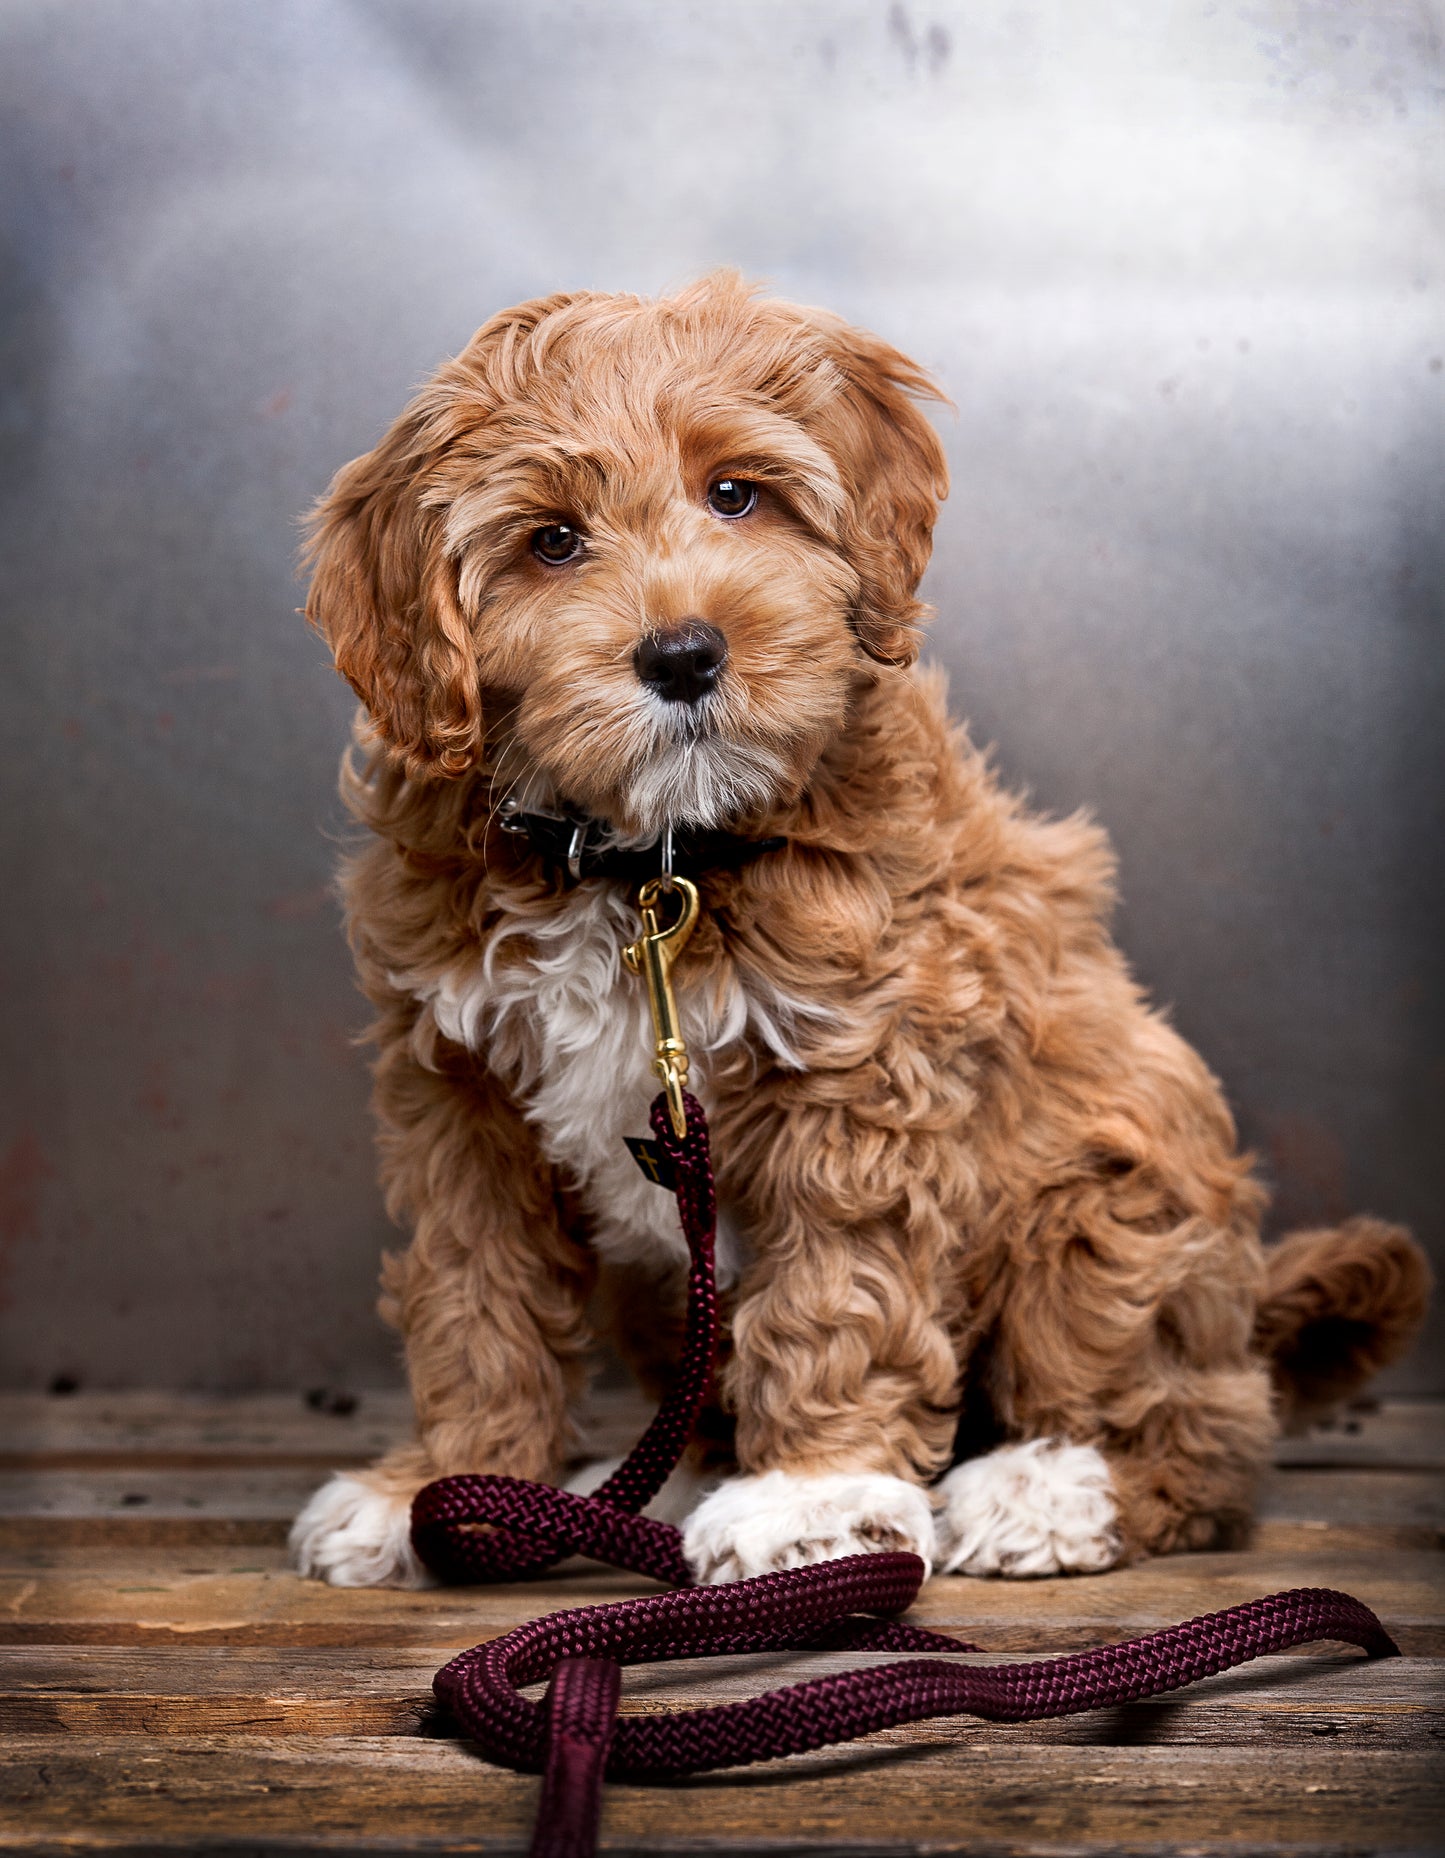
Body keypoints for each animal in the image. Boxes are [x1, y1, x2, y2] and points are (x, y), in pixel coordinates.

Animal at [287, 269, 1426, 1590]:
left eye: (736, 493)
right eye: (551, 541)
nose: (684, 653)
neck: (646, 865)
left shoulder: (861, 1069)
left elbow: (835, 1290)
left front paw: (811, 1498)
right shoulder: (459, 1096)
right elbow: (474, 1296)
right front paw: (442, 1486)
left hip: (1105, 1192)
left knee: (1199, 1431)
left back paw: (1047, 1490)